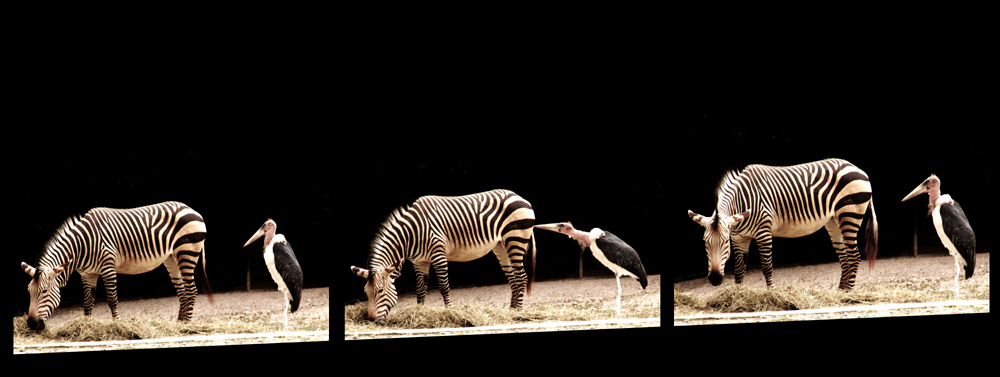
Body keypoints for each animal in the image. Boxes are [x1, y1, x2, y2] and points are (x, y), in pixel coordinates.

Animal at [19, 201, 209, 328]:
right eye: (29, 291)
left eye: (44, 291)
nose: (32, 324)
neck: (82, 245)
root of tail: (190, 208)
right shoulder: (87, 274)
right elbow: (87, 302)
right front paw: (86, 325)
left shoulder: (107, 267)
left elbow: (112, 299)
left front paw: (117, 323)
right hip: (171, 258)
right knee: (182, 292)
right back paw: (179, 323)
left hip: (187, 252)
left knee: (191, 290)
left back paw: (187, 326)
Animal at [354, 188, 540, 320]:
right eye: (365, 293)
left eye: (380, 291)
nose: (371, 320)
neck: (411, 234)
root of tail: (518, 196)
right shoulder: (420, 261)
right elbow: (420, 289)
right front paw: (420, 311)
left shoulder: (438, 255)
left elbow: (444, 286)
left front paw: (449, 311)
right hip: (501, 245)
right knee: (513, 278)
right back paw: (511, 310)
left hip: (515, 239)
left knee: (521, 277)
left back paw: (518, 312)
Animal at [684, 157, 880, 290]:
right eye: (705, 242)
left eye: (724, 242)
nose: (715, 279)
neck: (743, 200)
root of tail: (857, 168)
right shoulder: (739, 238)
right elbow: (739, 270)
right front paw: (736, 297)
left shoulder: (763, 231)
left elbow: (766, 266)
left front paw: (771, 293)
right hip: (834, 220)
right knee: (845, 257)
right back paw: (839, 291)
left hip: (849, 215)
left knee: (854, 255)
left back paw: (848, 293)